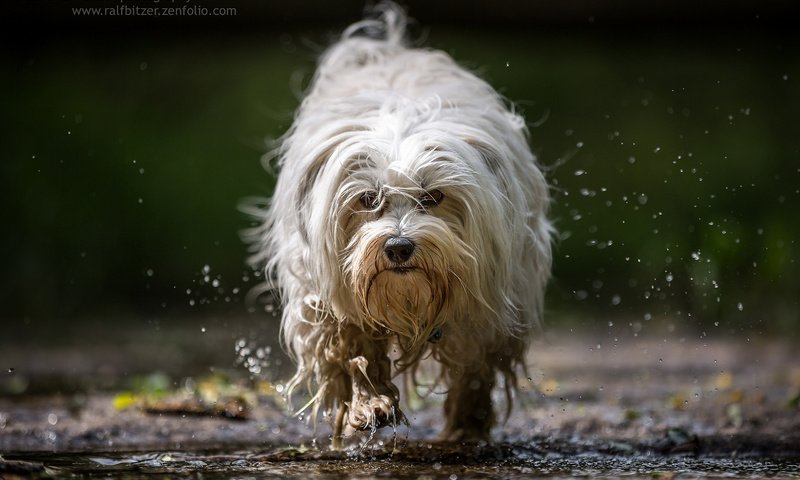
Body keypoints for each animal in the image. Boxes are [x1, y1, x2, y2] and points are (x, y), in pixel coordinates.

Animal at [247, 3, 552, 448]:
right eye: (367, 199)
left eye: (433, 196)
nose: (398, 246)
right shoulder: (326, 297)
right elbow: (353, 350)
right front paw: (370, 404)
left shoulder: (491, 304)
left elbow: (474, 367)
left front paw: (466, 424)